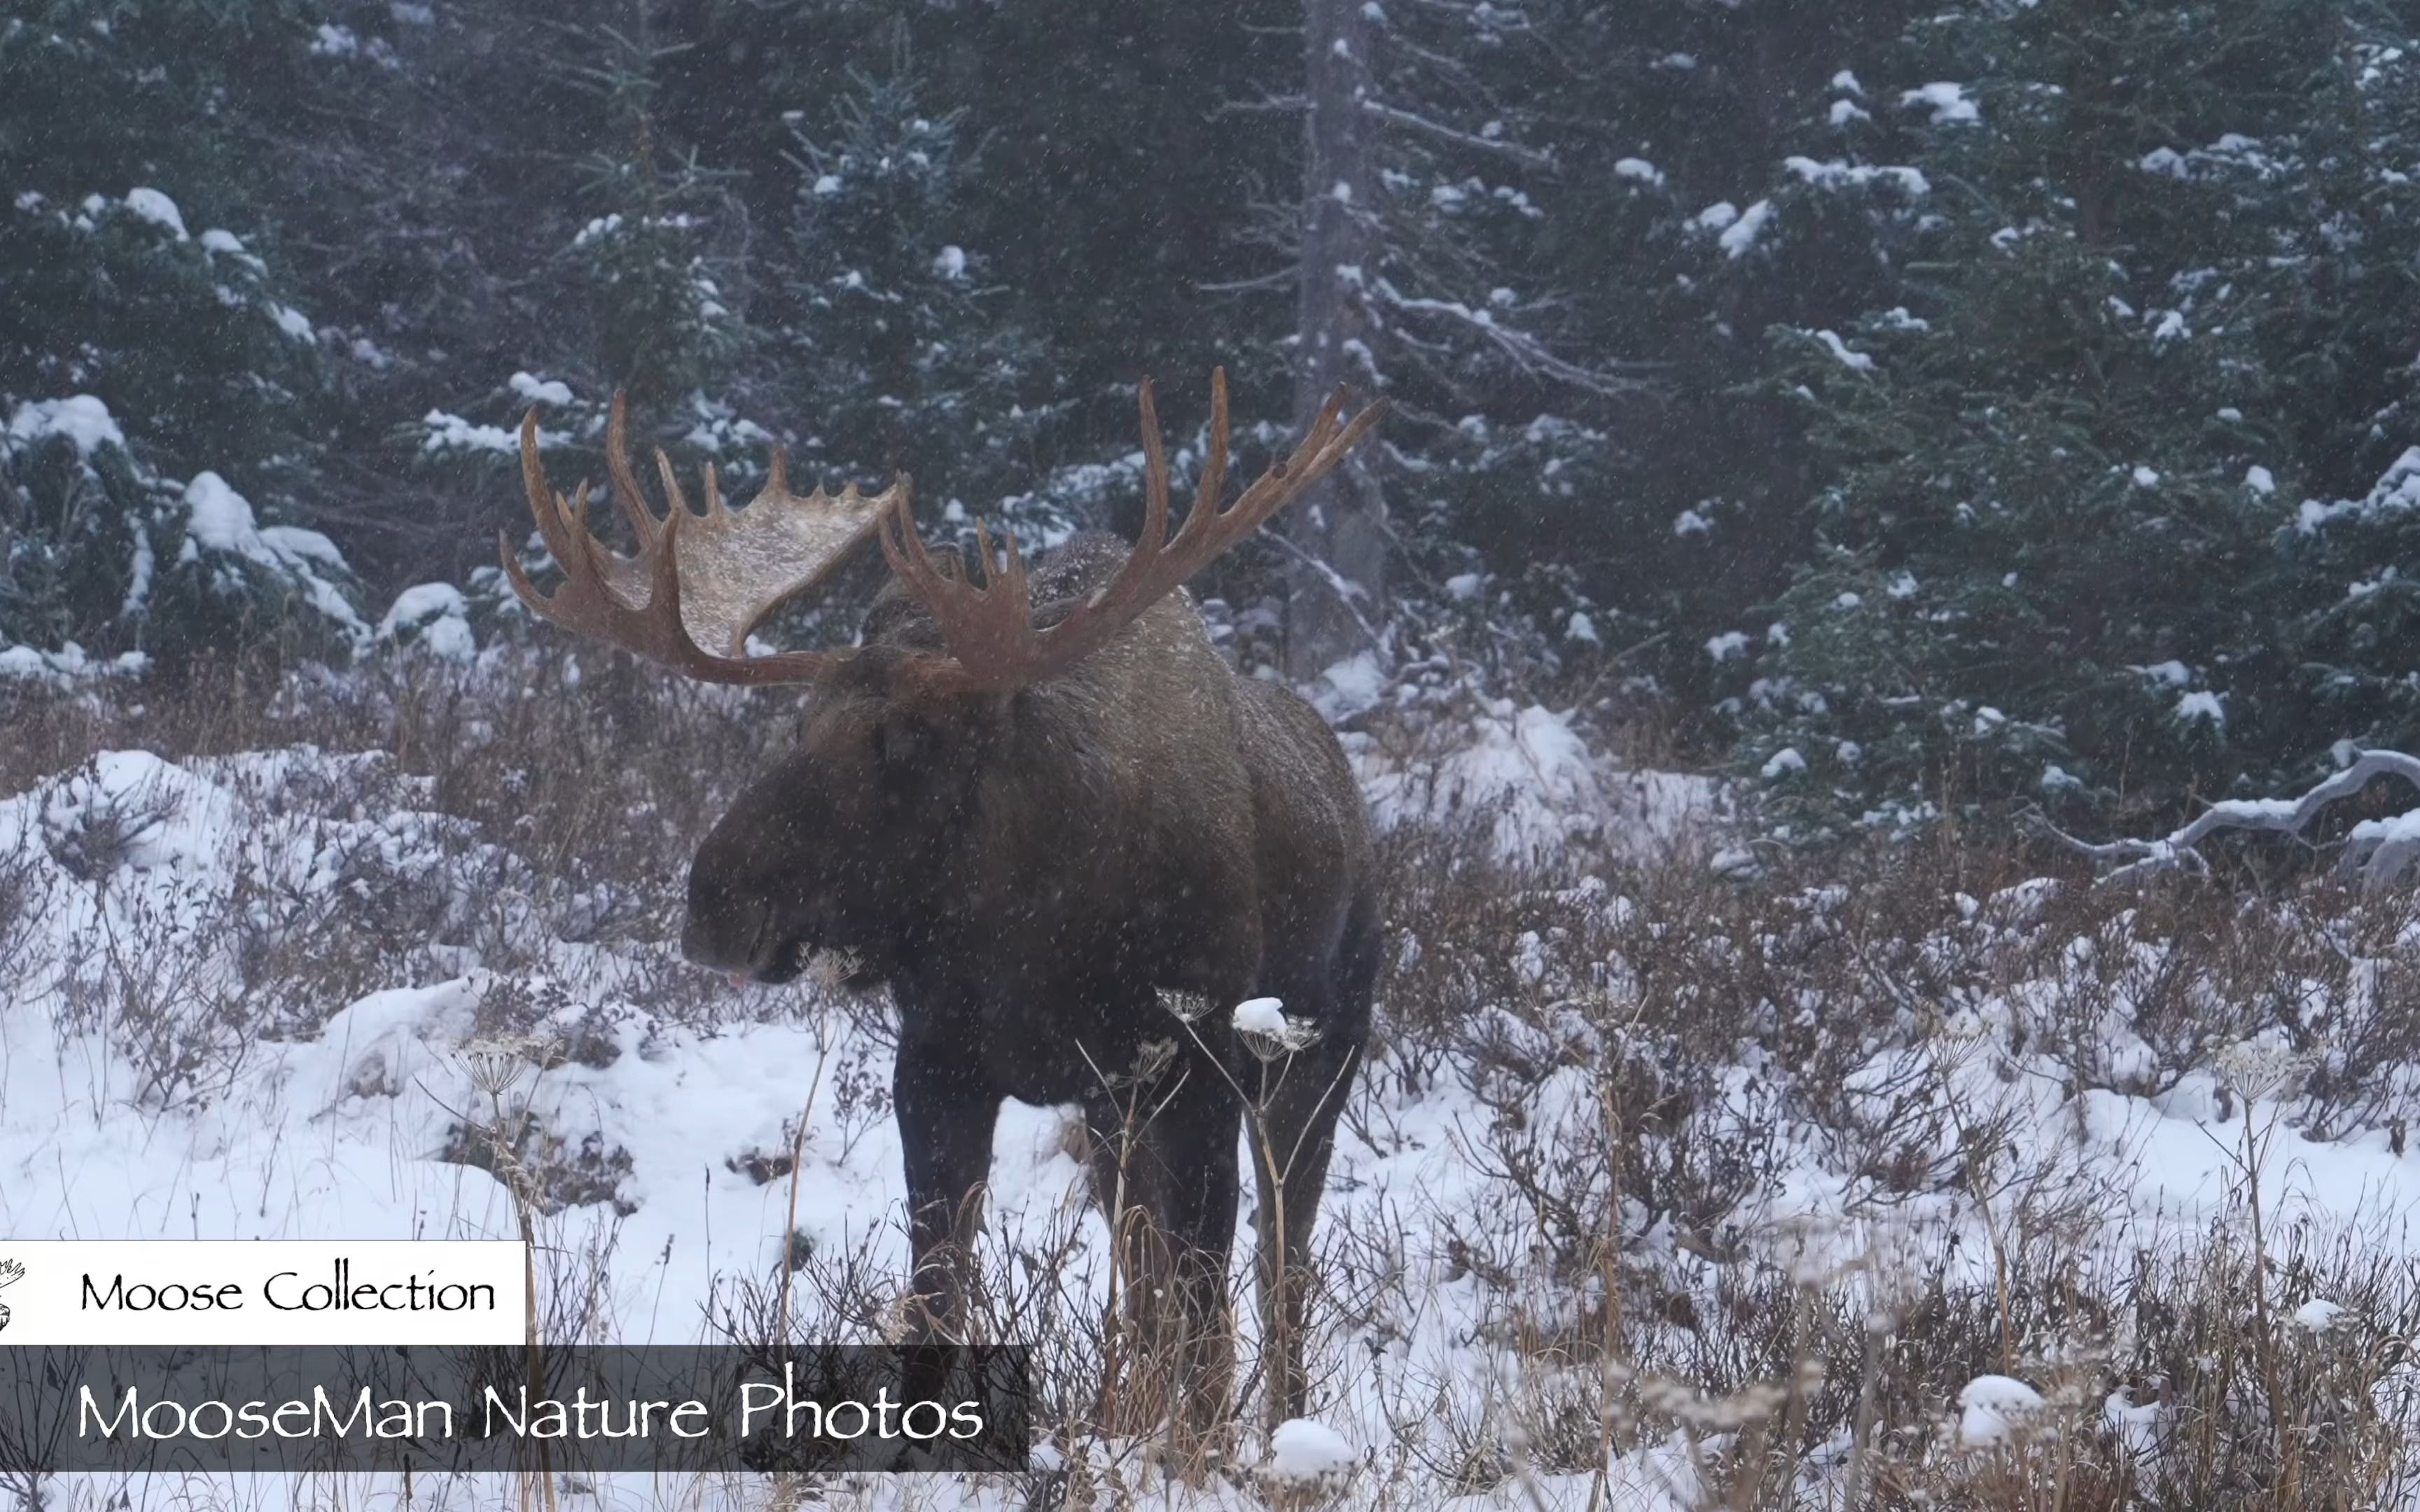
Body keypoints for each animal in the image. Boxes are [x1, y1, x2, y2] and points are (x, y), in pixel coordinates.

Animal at [501, 372, 1393, 1422]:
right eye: (800, 722)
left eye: (909, 741)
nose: (714, 902)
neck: (1038, 931)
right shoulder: (941, 1066)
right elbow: (937, 1304)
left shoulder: (1197, 1069)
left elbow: (1209, 1323)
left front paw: (1203, 1446)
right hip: (1115, 1115)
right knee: (1143, 1274)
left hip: (1316, 1061)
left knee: (1277, 1271)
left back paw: (1282, 1417)